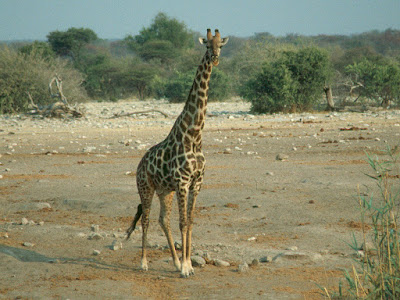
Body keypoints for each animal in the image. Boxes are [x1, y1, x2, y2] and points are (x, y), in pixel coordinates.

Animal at [126, 29, 230, 278]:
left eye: (221, 45)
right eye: (207, 45)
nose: (215, 58)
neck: (194, 136)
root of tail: (139, 164)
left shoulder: (196, 183)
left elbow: (190, 221)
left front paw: (187, 264)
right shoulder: (183, 182)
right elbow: (183, 222)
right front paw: (185, 268)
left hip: (166, 191)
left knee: (163, 220)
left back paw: (173, 261)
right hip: (146, 187)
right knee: (146, 219)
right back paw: (144, 263)